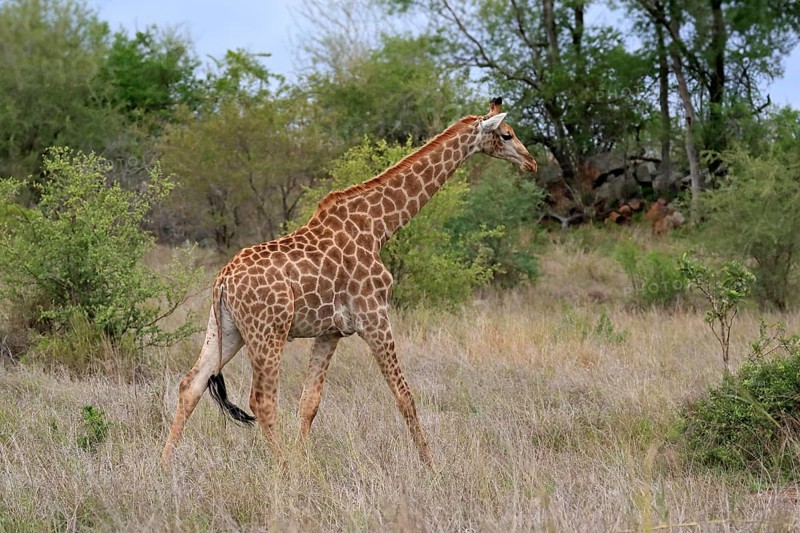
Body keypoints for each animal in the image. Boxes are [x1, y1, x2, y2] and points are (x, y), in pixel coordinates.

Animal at [160, 97, 537, 467]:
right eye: (507, 134)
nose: (531, 162)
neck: (379, 226)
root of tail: (222, 280)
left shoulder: (331, 331)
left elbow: (309, 402)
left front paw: (305, 467)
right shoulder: (374, 316)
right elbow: (404, 395)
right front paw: (431, 467)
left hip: (225, 328)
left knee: (191, 383)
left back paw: (164, 465)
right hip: (267, 331)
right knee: (261, 400)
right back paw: (280, 471)